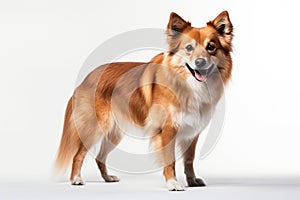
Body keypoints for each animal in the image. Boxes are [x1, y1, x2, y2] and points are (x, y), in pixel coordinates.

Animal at [55, 10, 234, 191]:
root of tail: (86, 79)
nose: (200, 62)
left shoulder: (192, 131)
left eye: (211, 47)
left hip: (114, 133)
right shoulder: (167, 129)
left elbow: (189, 160)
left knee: (100, 157)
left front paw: (192, 181)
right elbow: (170, 160)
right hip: (94, 128)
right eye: (189, 48)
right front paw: (172, 183)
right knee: (78, 155)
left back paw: (107, 178)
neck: (187, 84)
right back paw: (76, 179)